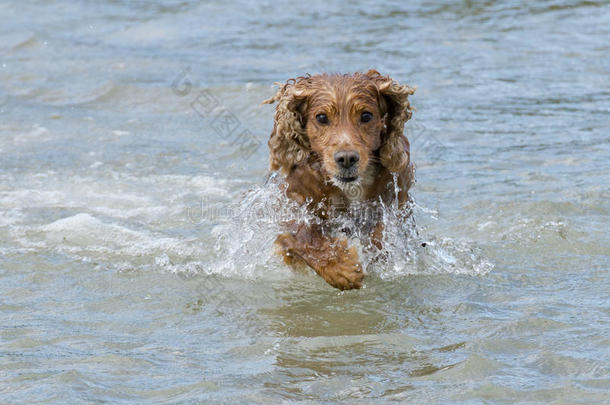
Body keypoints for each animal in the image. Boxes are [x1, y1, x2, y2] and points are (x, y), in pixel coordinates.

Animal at [264, 70, 416, 290]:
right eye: (321, 117)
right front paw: (341, 268)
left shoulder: (398, 198)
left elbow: (382, 230)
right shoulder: (290, 204)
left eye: (366, 116)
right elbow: (301, 235)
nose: (346, 158)